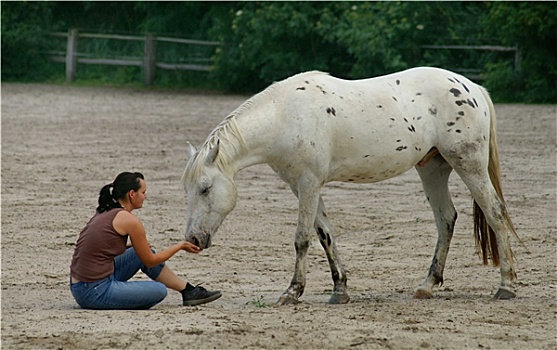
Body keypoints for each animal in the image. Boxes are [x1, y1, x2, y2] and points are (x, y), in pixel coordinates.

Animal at [180, 67, 520, 304]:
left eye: (205, 188)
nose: (193, 239)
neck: (285, 115)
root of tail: (472, 88)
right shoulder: (303, 187)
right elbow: (325, 236)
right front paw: (339, 290)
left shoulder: (308, 183)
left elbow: (302, 238)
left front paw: (292, 292)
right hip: (433, 169)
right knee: (446, 219)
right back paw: (427, 286)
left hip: (469, 165)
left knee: (495, 213)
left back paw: (506, 286)